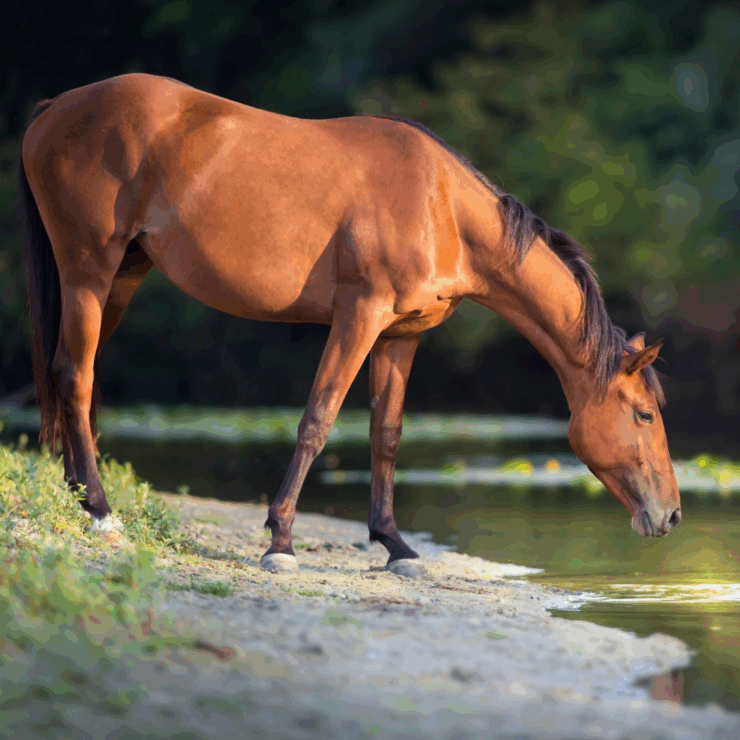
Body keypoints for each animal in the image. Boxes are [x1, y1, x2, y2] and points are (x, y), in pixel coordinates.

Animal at [19, 73, 680, 577]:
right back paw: (101, 511)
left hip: (121, 277)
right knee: (75, 376)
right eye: (644, 414)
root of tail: (58, 106)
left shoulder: (401, 335)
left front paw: (396, 546)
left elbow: (385, 435)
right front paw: (281, 541)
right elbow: (318, 419)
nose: (671, 515)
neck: (441, 206)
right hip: (88, 270)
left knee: (73, 377)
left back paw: (79, 496)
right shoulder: (359, 316)